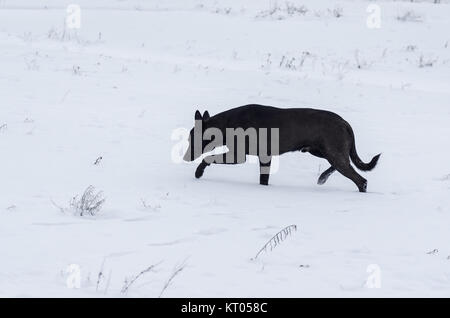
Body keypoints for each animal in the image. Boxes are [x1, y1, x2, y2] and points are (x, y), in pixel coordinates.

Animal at [183, 105, 380, 193]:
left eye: (193, 139)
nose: (185, 157)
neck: (225, 124)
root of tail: (345, 122)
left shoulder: (238, 155)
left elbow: (208, 158)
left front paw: (198, 172)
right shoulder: (265, 157)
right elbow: (263, 179)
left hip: (332, 152)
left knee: (360, 179)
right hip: (321, 151)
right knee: (343, 166)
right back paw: (323, 177)